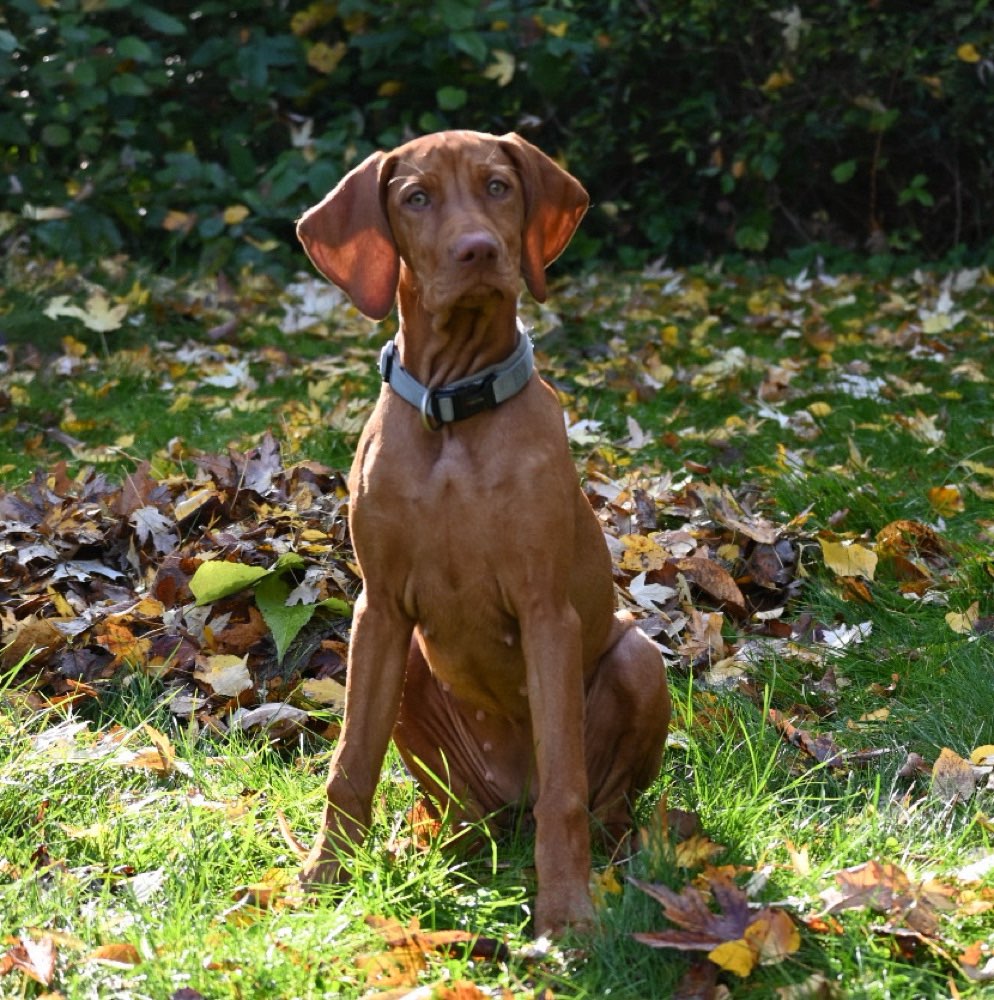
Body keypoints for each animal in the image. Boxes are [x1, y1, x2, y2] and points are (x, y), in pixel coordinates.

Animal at [292, 129, 668, 932]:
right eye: (416, 198)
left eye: (499, 186)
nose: (478, 250)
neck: (454, 414)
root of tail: (506, 806)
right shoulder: (377, 610)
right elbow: (350, 764)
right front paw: (323, 877)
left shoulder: (547, 613)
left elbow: (565, 788)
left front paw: (566, 915)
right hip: (410, 670)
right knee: (459, 810)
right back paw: (435, 848)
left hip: (637, 660)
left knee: (597, 800)